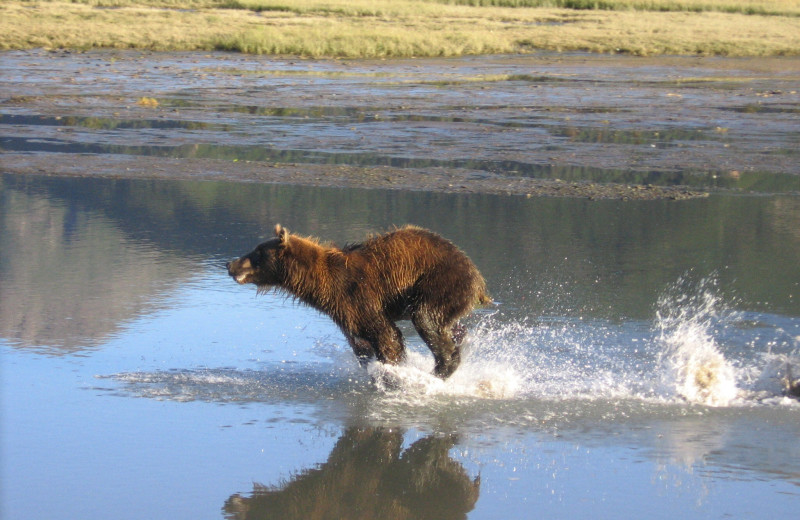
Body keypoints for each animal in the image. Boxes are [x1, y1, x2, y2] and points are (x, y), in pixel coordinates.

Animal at [225, 223, 488, 378]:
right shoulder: (345, 312)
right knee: (451, 326)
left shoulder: (357, 295)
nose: (230, 264)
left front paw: (393, 372)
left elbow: (386, 335)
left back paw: (439, 371)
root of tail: (478, 279)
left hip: (440, 282)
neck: (323, 284)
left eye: (257, 253)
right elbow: (361, 343)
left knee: (426, 319)